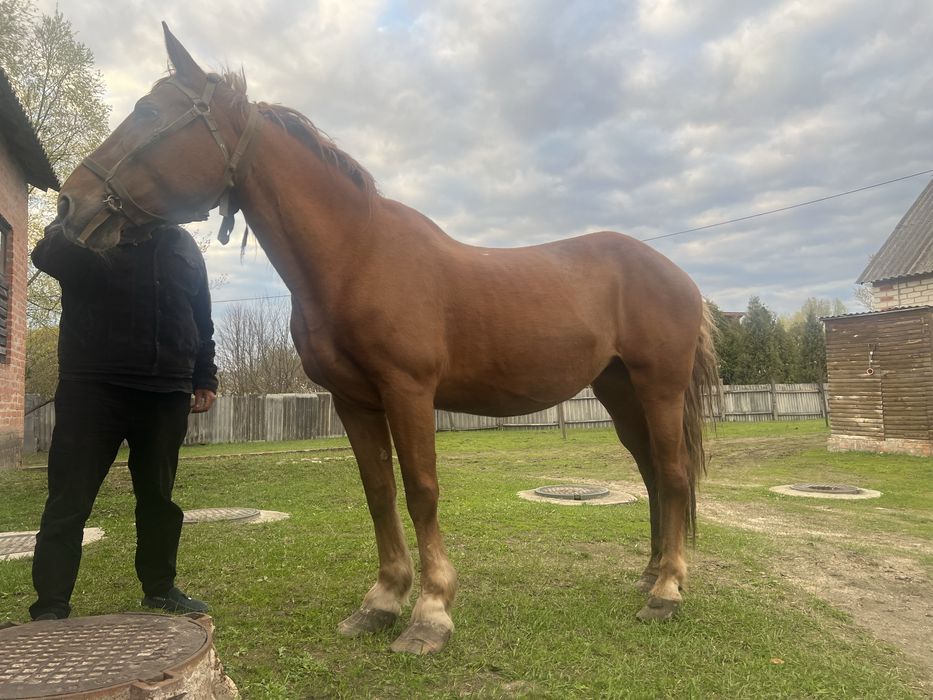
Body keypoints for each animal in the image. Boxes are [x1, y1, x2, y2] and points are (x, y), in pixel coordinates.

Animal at [49, 24, 719, 655]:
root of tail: (681, 278)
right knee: (651, 472)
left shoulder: (408, 391)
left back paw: (666, 592)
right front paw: (381, 602)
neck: (357, 256)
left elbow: (421, 491)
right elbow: (378, 493)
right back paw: (652, 575)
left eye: (150, 113)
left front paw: (431, 614)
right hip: (619, 390)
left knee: (673, 474)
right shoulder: (355, 400)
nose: (70, 205)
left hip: (658, 386)